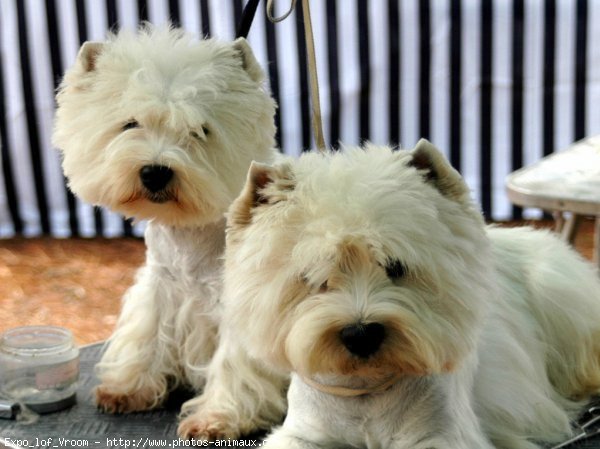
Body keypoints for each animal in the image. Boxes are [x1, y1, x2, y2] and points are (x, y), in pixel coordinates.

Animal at [51, 25, 282, 430]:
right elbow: (147, 334)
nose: (155, 172)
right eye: (130, 124)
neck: (191, 231)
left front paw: (216, 418)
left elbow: (232, 363)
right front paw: (127, 389)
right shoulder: (161, 285)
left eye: (200, 131)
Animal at [218, 138, 600, 446]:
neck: (366, 389)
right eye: (315, 277)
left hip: (559, 296)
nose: (361, 335)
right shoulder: (304, 433)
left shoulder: (442, 434)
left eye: (395, 267)